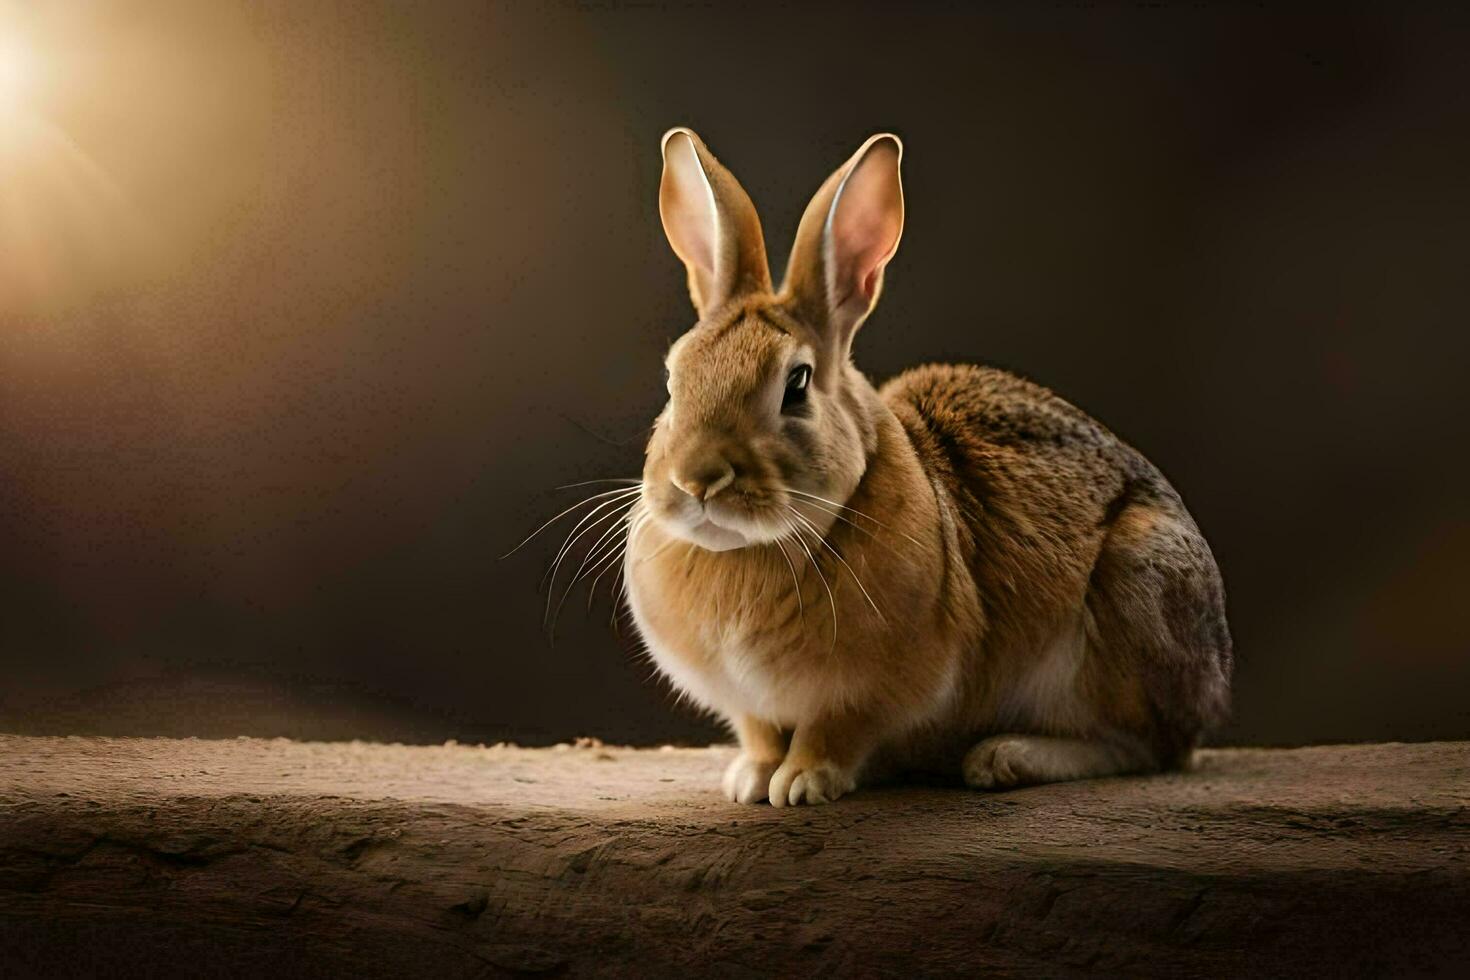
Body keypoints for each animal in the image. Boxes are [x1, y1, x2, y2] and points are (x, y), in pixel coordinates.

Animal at [620, 126, 1228, 811]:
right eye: (673, 380)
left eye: (796, 384)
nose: (697, 481)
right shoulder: (752, 707)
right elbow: (761, 734)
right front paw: (751, 778)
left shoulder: (871, 692)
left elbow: (835, 732)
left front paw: (803, 783)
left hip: (1134, 597)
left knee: (1146, 747)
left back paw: (1006, 758)